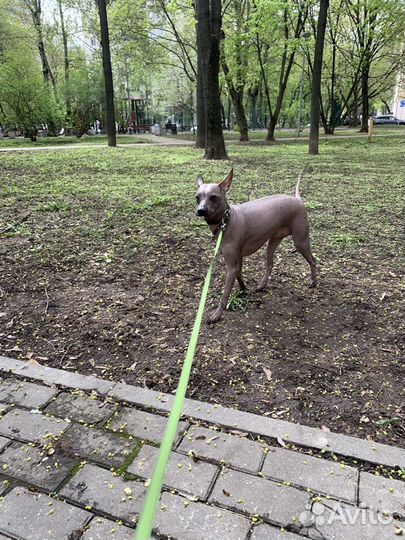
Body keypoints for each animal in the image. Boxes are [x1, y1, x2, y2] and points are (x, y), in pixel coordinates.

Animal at [196, 169, 316, 322]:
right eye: (197, 197)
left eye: (213, 197)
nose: (200, 210)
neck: (226, 221)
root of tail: (298, 199)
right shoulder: (238, 258)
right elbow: (239, 274)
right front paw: (243, 289)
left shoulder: (231, 265)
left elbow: (225, 294)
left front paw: (217, 314)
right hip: (273, 241)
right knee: (270, 264)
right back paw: (261, 285)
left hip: (300, 241)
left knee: (313, 260)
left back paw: (313, 282)